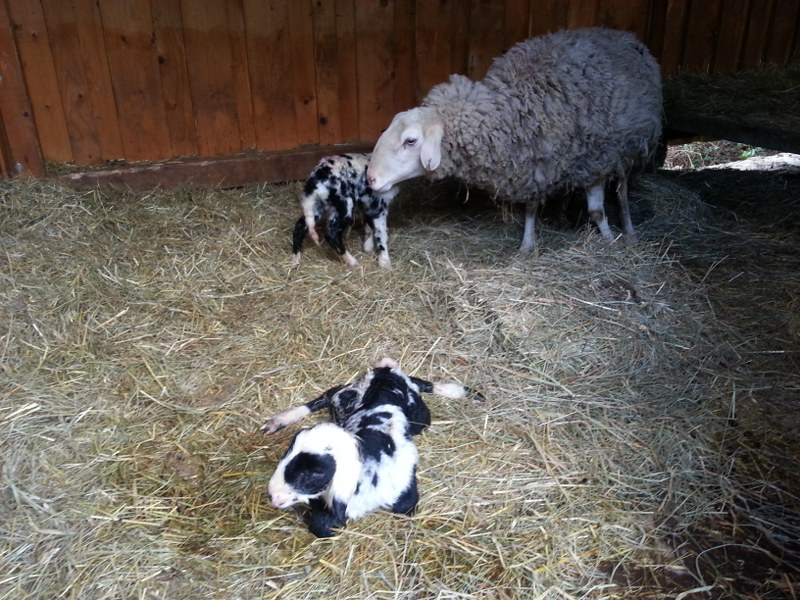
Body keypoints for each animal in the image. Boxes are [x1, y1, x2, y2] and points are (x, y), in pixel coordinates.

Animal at [262, 358, 483, 537]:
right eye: (286, 454)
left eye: (312, 473)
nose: (273, 496)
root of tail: (389, 372)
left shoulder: (406, 499)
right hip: (348, 393)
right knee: (329, 394)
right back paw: (279, 420)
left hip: (420, 417)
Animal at [366, 27, 663, 252]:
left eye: (410, 141)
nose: (370, 179)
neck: (521, 106)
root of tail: (624, 35)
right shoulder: (535, 162)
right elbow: (531, 207)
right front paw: (527, 245)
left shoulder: (596, 161)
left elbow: (597, 211)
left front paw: (609, 239)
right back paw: (563, 215)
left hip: (626, 148)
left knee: (622, 190)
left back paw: (628, 229)